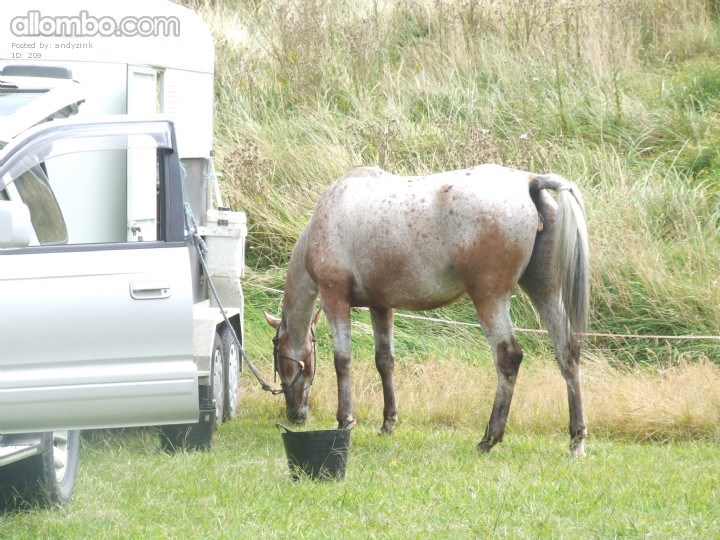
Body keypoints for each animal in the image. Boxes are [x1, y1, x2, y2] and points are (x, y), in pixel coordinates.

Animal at [264, 163, 590, 456]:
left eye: (280, 358)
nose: (295, 415)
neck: (331, 212)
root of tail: (530, 182)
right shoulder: (380, 305)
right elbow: (385, 361)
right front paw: (388, 423)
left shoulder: (334, 298)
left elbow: (342, 361)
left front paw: (345, 421)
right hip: (545, 291)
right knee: (567, 352)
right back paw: (576, 440)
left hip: (490, 298)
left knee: (508, 357)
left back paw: (489, 438)